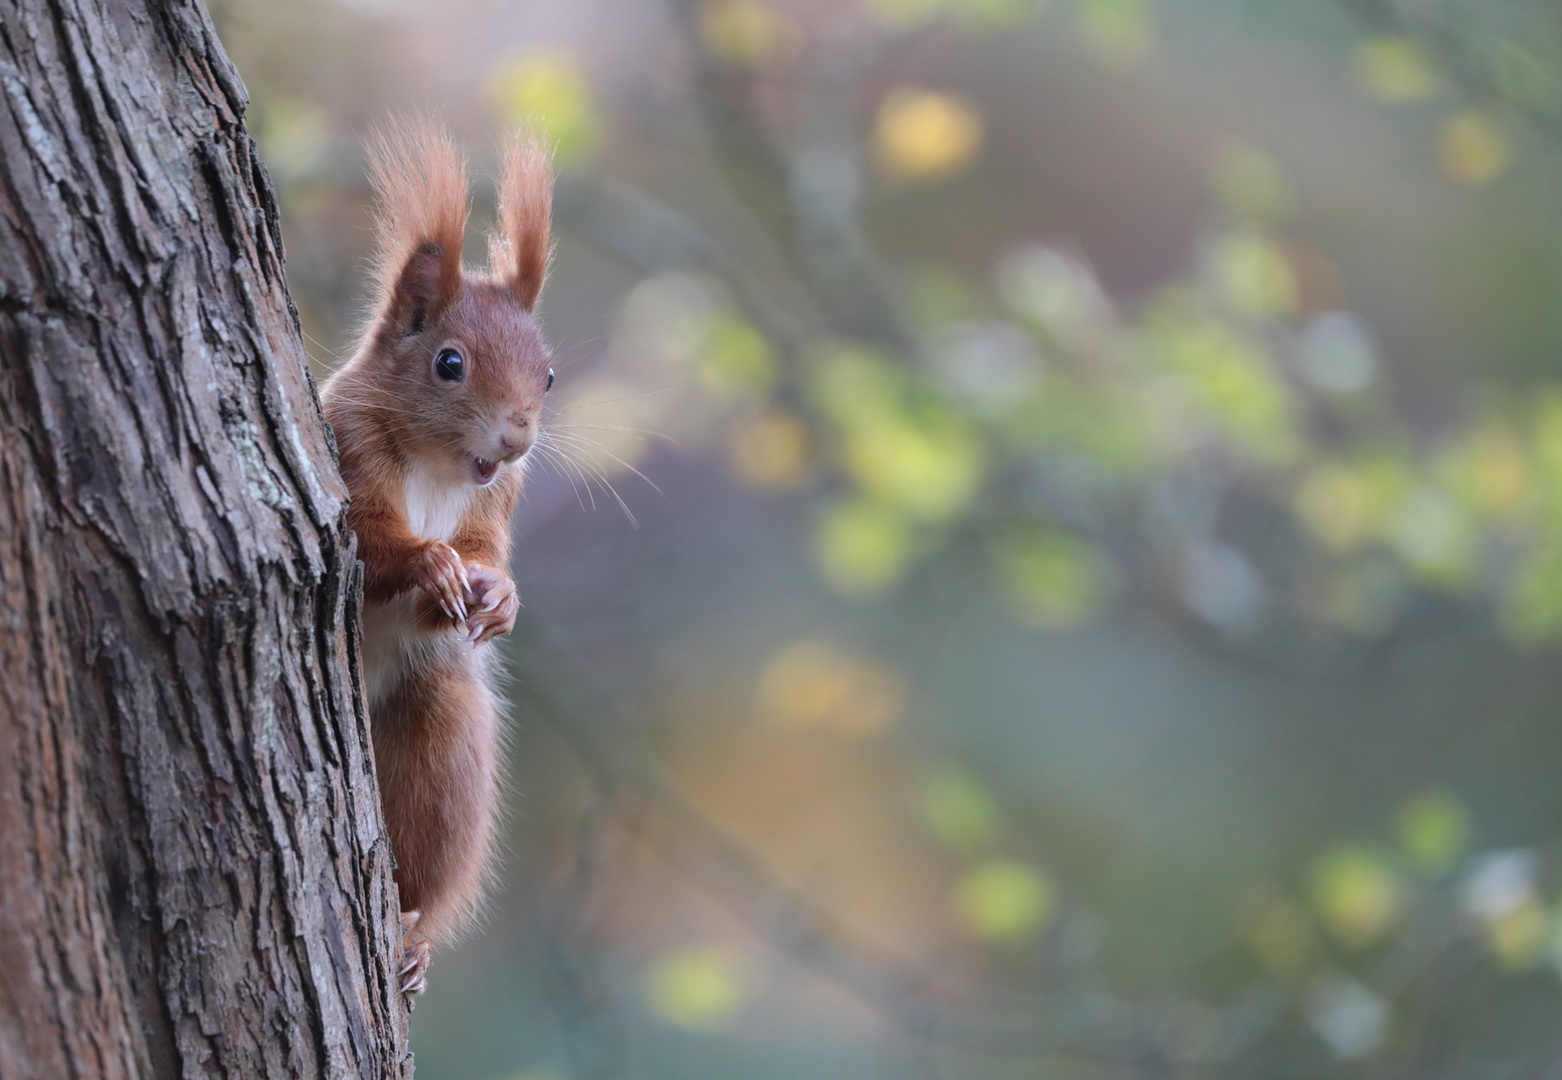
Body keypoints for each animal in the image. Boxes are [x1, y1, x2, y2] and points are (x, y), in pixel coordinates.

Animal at [320, 118, 552, 994]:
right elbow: (370, 539)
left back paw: (413, 935)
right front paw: (431, 564)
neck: (442, 467)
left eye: (548, 376)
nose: (516, 439)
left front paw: (499, 593)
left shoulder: (498, 498)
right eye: (449, 364)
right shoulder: (349, 444)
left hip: (440, 725)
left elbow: (488, 551)